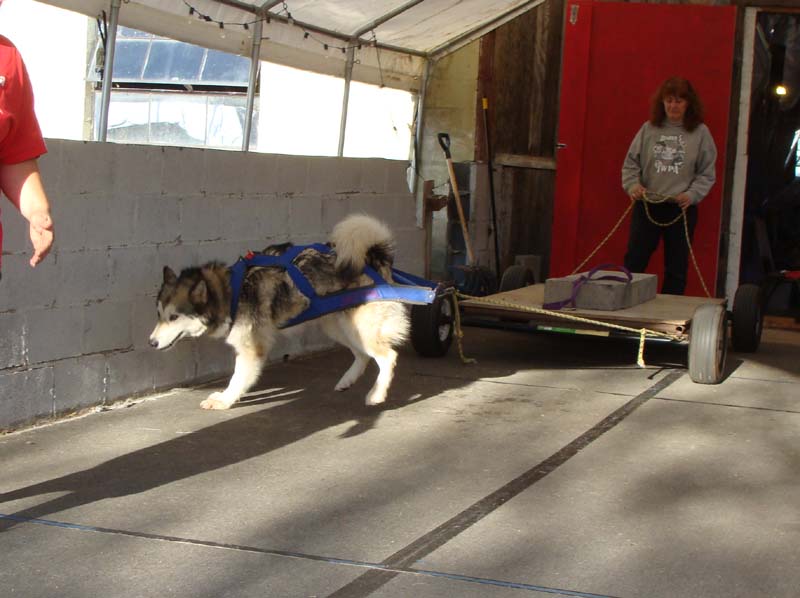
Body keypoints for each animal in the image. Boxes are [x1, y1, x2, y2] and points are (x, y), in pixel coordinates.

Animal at [150, 216, 410, 412]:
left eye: (174, 317)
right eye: (159, 314)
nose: (151, 343)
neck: (231, 291)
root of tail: (374, 256)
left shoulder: (251, 350)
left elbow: (237, 379)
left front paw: (224, 400)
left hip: (359, 326)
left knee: (387, 356)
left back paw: (376, 394)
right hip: (338, 325)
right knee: (363, 355)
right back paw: (348, 380)